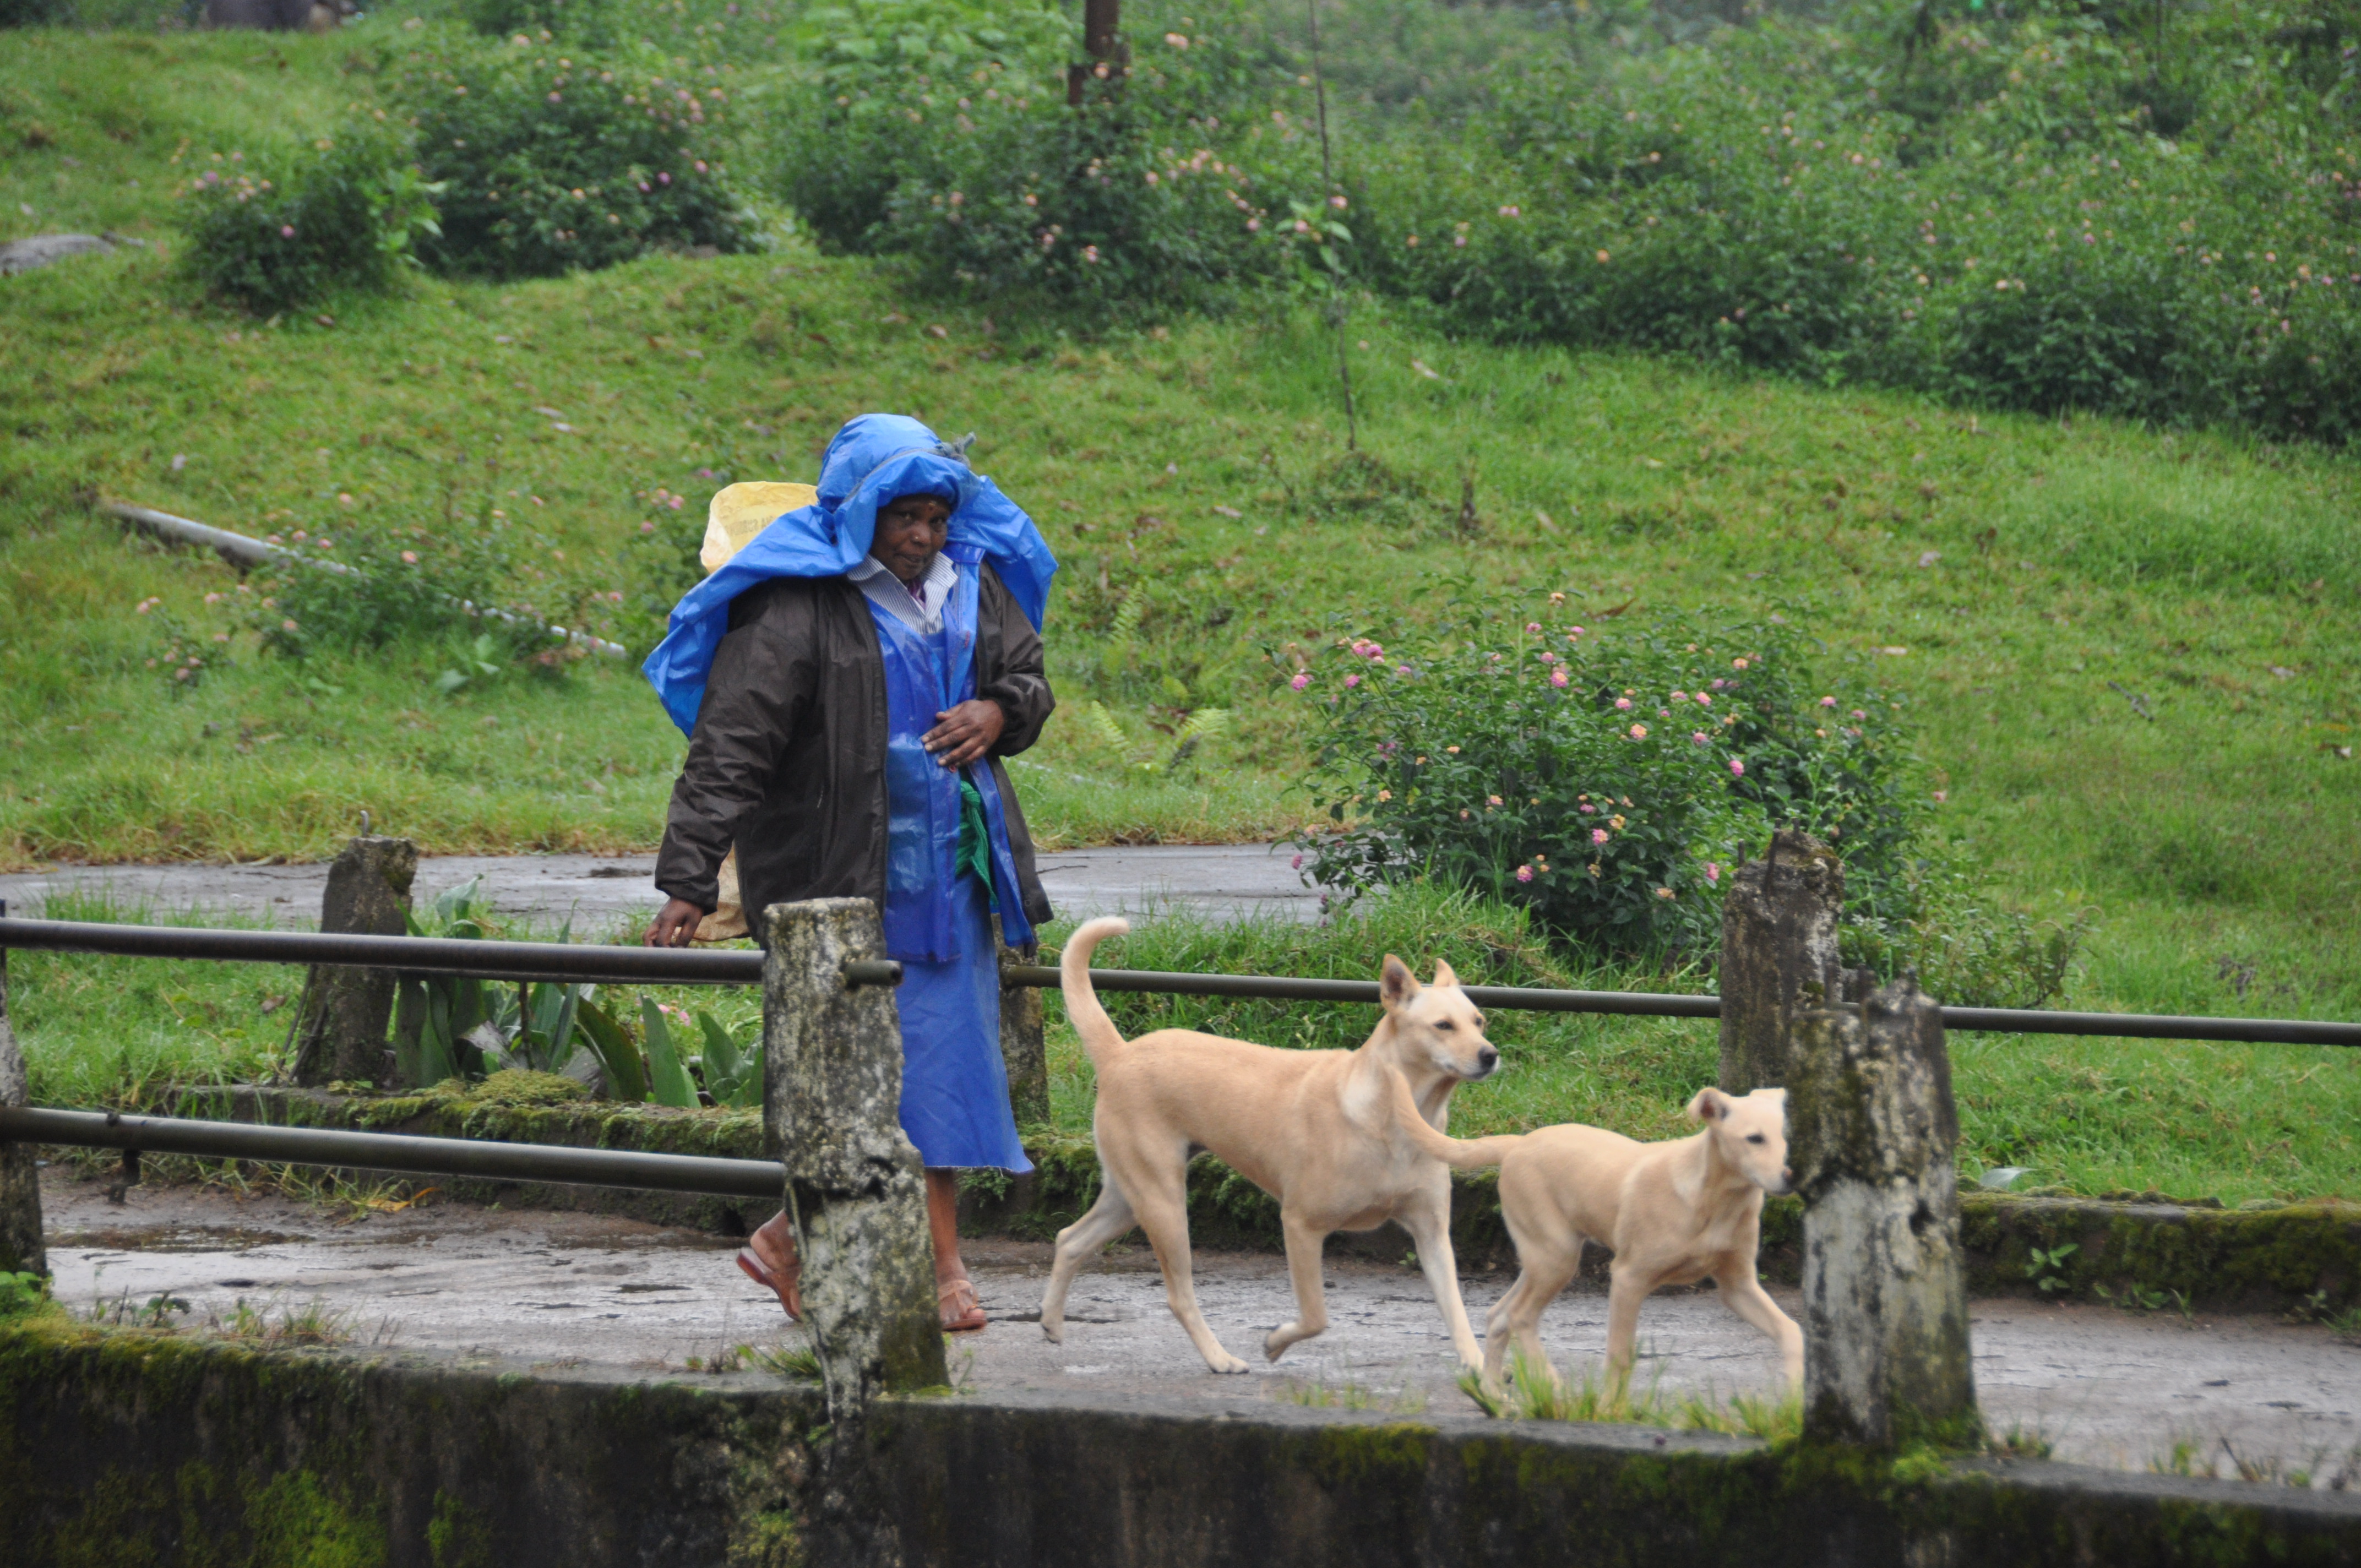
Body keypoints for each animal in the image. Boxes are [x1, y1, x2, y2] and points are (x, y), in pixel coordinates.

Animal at [1048, 911, 1502, 1379]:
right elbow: (1316, 1316)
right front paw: (1276, 1343)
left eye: (1479, 1022)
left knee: (1069, 1239)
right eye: (1443, 1025)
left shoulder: (1432, 1233)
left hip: (1129, 1197)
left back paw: (1051, 1324)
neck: (1400, 1113)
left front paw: (1481, 1367)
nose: (1491, 1055)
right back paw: (1220, 1358)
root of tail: (1120, 1054)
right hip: (1163, 1204)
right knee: (1179, 1296)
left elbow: (1456, 1310)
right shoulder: (1300, 1224)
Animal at [1388, 1076, 1794, 1398]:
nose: (1791, 1179)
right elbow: (1619, 1355)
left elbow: (1791, 1331)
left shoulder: (1739, 1287)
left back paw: (1494, 1395)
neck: (1714, 1198)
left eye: (1784, 1138)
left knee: (1499, 1314)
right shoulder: (1628, 1278)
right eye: (1755, 1139)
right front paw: (1610, 1409)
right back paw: (1552, 1385)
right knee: (1520, 1317)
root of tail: (1519, 1143)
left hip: (1543, 1259)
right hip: (1557, 1258)